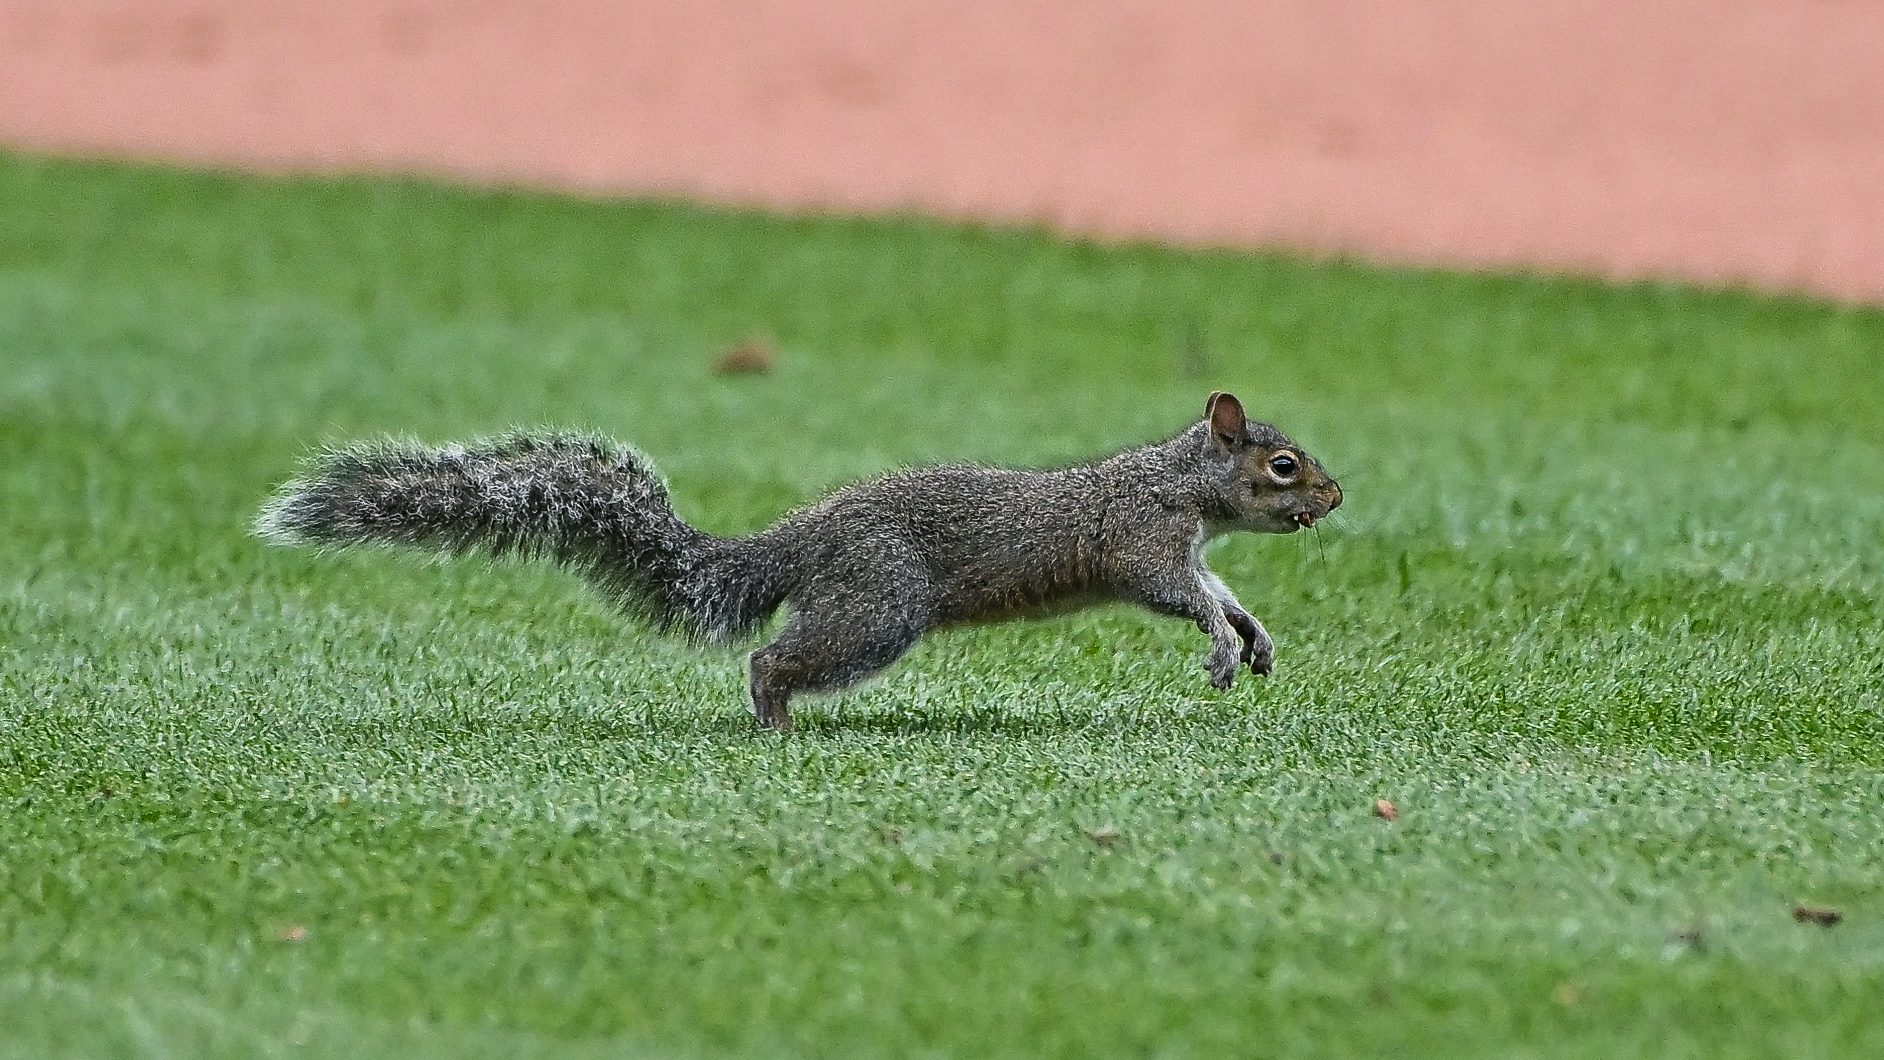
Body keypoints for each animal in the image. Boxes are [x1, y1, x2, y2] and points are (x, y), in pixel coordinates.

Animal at [258, 389, 1341, 730]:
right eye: (1283, 465)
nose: (1335, 498)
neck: (1181, 486)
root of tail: (803, 539)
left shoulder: (1193, 550)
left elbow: (1220, 590)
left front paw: (1253, 636)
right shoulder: (1143, 543)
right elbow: (1178, 596)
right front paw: (1218, 648)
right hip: (877, 610)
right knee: (772, 657)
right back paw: (775, 719)